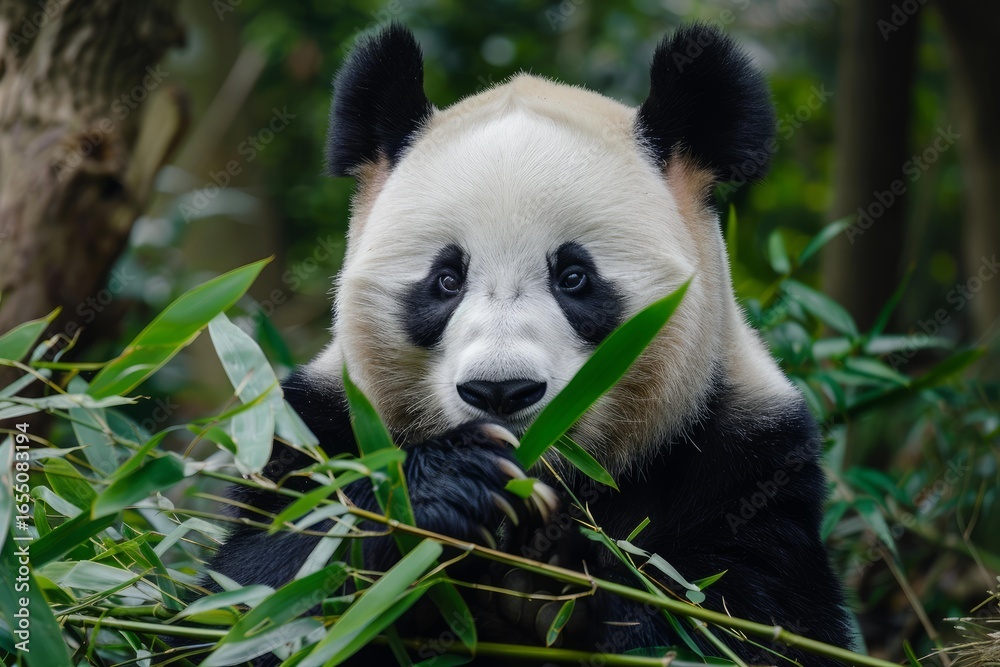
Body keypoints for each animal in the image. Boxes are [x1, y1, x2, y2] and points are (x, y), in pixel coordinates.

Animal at [203, 22, 853, 666]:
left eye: (574, 277)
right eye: (447, 280)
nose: (501, 391)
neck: (549, 469)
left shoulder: (746, 457)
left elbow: (747, 626)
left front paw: (552, 581)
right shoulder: (316, 426)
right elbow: (261, 593)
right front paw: (448, 488)